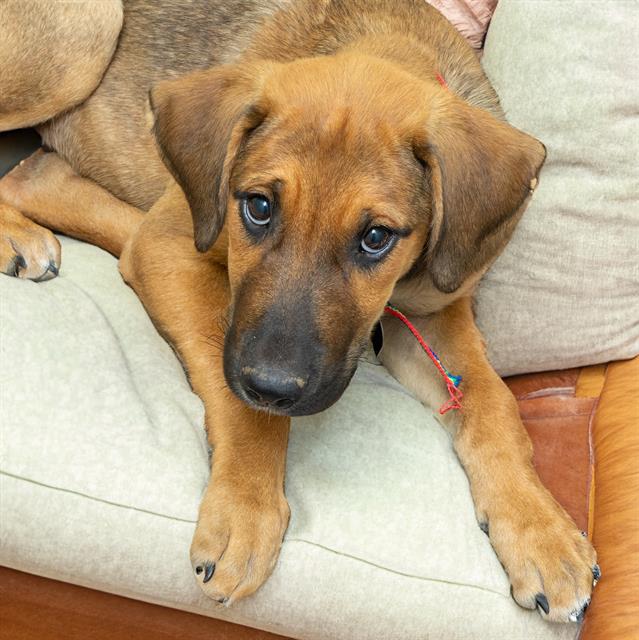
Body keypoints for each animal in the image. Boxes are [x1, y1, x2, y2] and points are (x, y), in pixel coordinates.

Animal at [1, 0, 600, 624]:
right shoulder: (171, 248)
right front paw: (246, 508)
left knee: (35, 177)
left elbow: (493, 401)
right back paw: (17, 237)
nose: (272, 383)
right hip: (86, 33)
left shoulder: (433, 313)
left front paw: (543, 532)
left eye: (377, 239)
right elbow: (247, 406)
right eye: (258, 207)